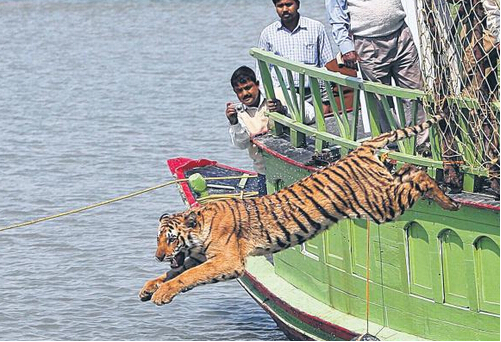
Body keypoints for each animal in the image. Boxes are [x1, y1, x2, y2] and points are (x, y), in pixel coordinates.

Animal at [139, 116, 458, 306]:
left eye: (170, 238)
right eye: (157, 239)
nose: (157, 256)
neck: (199, 231)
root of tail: (360, 147)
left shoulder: (228, 262)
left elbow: (186, 276)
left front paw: (162, 293)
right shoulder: (200, 258)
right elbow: (173, 273)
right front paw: (149, 287)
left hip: (382, 205)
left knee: (419, 175)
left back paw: (449, 202)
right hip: (384, 192)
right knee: (409, 171)